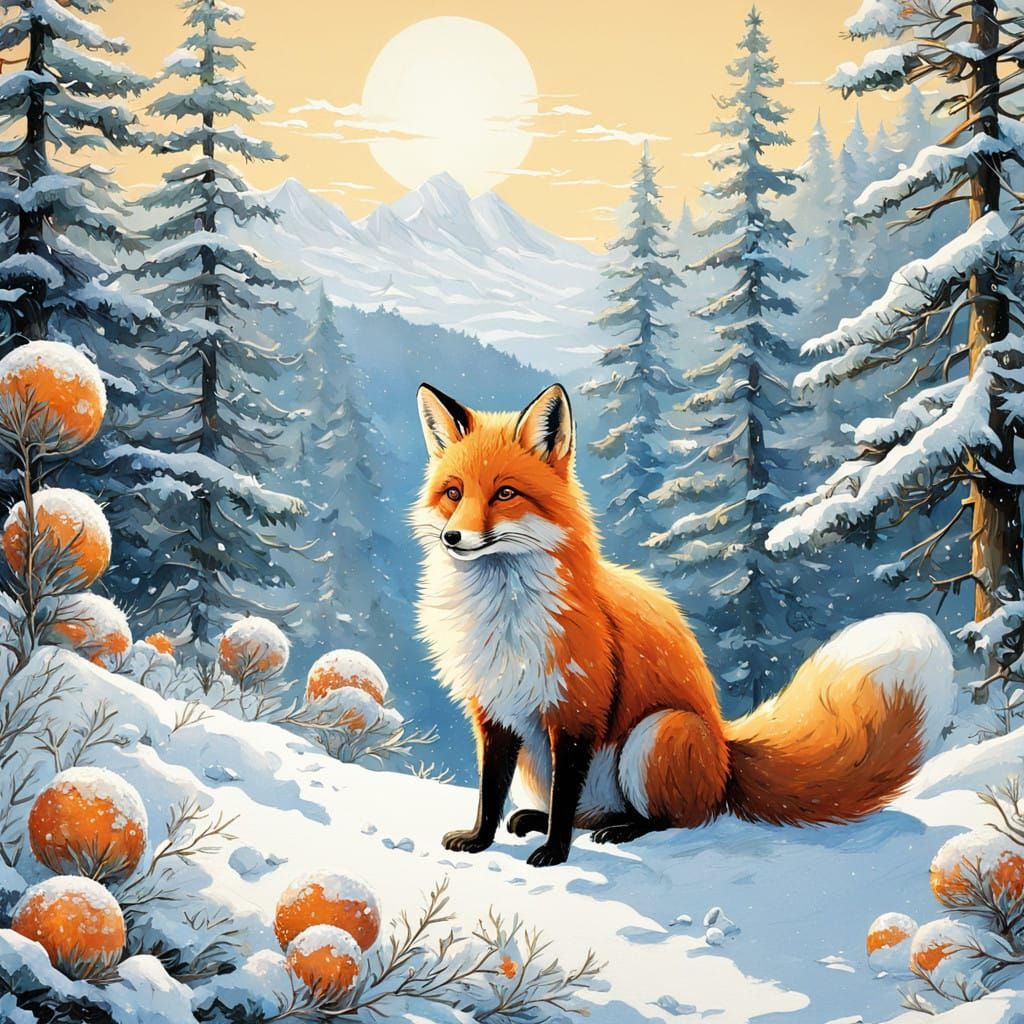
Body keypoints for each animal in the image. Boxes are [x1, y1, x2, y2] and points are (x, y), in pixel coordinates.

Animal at [413, 381, 956, 867]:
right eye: (454, 493)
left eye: (505, 493)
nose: (453, 537)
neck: (503, 616)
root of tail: (726, 753)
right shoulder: (495, 711)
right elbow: (490, 791)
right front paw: (480, 841)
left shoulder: (577, 710)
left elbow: (564, 801)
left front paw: (554, 854)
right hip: (545, 758)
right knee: (591, 811)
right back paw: (540, 819)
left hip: (654, 736)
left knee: (673, 819)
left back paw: (621, 829)